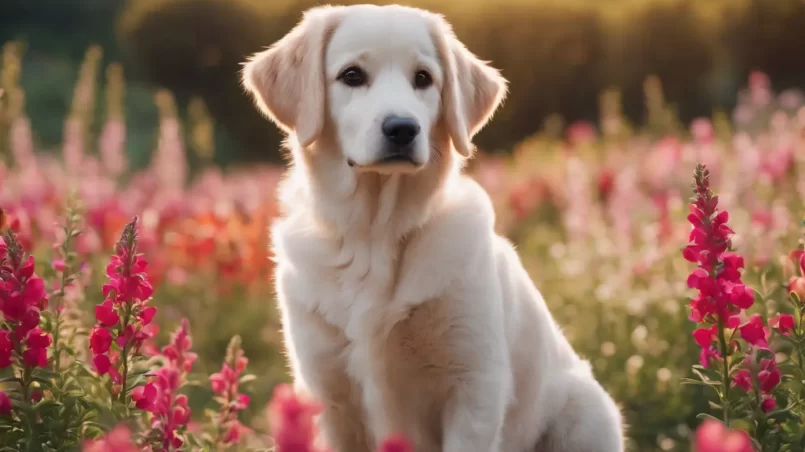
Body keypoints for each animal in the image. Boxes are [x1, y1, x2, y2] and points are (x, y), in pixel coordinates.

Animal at [239, 4, 620, 452]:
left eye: (423, 78)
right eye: (352, 75)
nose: (402, 128)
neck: (376, 234)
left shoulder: (474, 385)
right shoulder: (328, 393)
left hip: (588, 413)